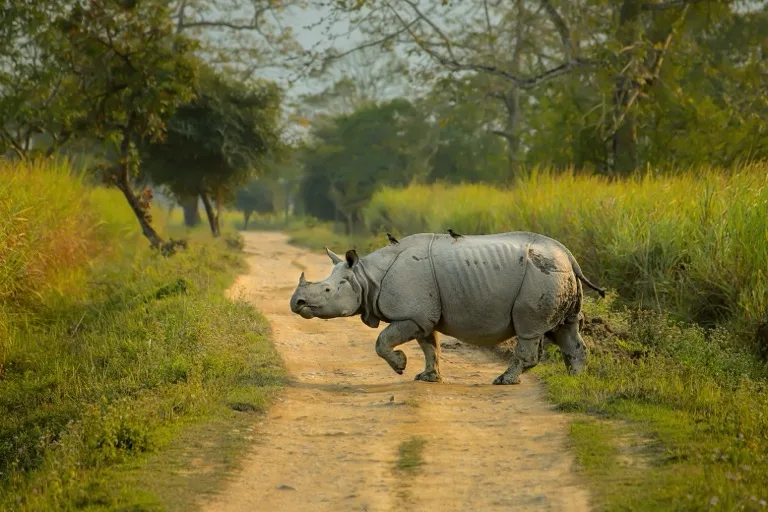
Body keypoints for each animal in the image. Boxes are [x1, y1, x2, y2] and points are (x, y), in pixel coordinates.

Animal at [289, 231, 605, 385]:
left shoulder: (412, 315)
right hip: (556, 274)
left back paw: (504, 381)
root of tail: (568, 255)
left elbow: (382, 341)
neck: (366, 277)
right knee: (565, 331)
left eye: (327, 291)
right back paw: (575, 382)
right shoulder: (422, 315)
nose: (296, 303)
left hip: (540, 277)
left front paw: (400, 367)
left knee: (530, 329)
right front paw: (427, 378)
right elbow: (431, 346)